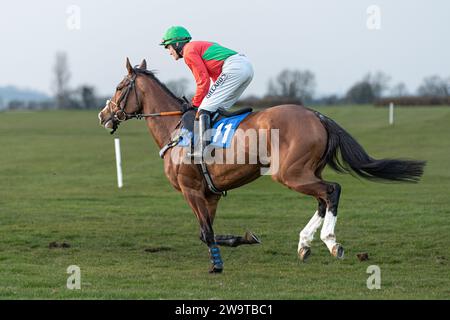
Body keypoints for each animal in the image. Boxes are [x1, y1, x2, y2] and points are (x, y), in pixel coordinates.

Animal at [98, 57, 426, 272]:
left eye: (119, 87)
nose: (103, 115)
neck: (174, 129)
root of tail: (317, 115)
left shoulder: (191, 190)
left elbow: (205, 233)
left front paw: (217, 264)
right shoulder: (210, 194)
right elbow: (210, 231)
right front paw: (244, 238)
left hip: (291, 173)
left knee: (332, 190)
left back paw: (330, 242)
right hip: (306, 171)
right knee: (323, 198)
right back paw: (305, 244)